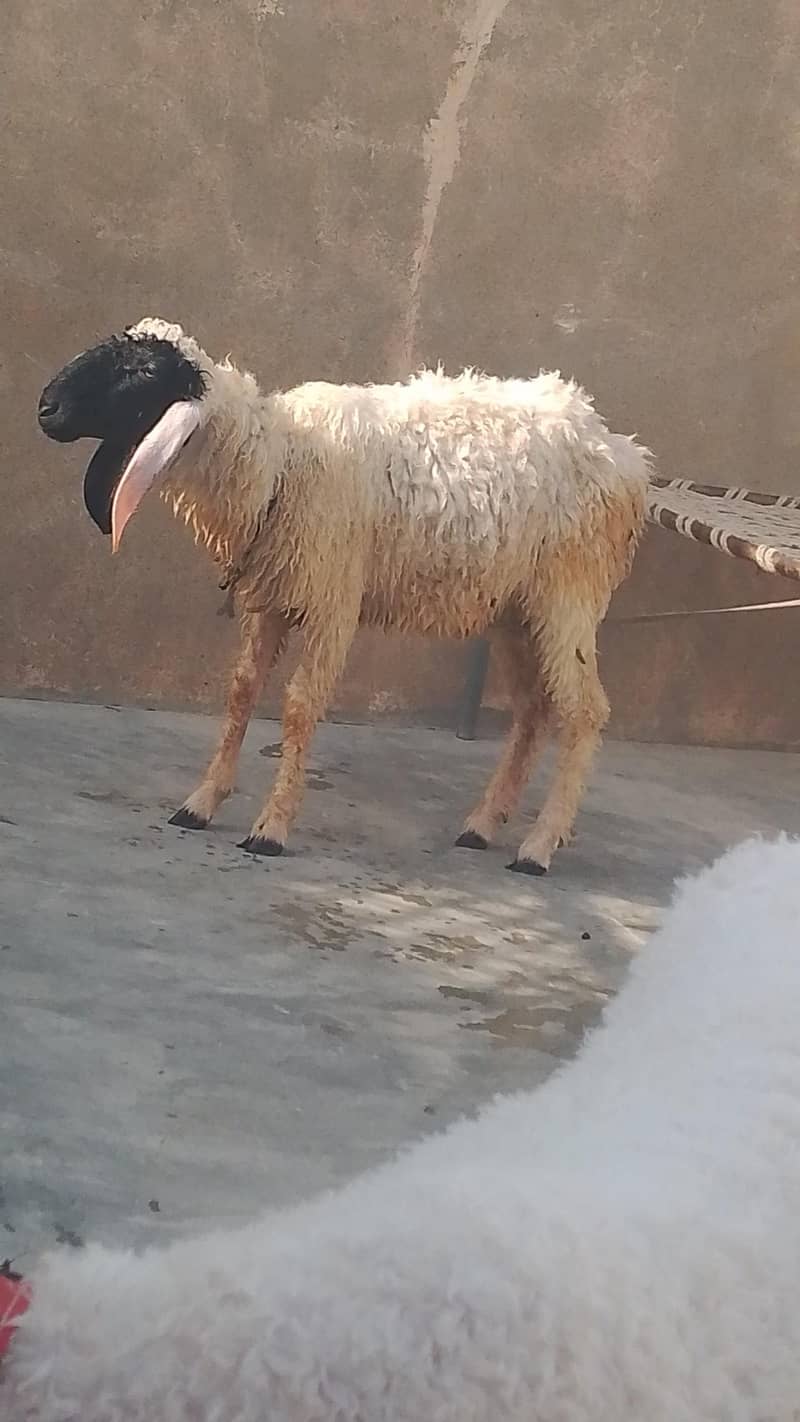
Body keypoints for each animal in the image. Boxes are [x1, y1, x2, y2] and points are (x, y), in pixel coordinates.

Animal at [38, 319, 649, 872]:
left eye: (142, 371)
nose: (46, 408)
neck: (279, 459)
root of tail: (623, 452)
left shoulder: (332, 600)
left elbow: (299, 707)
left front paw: (271, 828)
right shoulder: (273, 598)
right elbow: (241, 691)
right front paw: (201, 804)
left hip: (570, 594)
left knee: (584, 711)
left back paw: (539, 847)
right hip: (517, 610)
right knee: (533, 710)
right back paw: (481, 825)